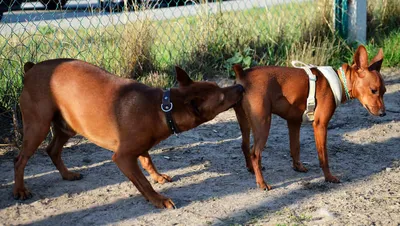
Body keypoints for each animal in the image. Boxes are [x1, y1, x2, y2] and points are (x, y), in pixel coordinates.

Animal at [13, 58, 244, 208]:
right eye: (221, 98)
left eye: (218, 86)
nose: (241, 88)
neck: (163, 108)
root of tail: (31, 69)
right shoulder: (123, 157)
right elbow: (142, 182)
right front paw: (158, 199)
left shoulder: (140, 148)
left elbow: (148, 162)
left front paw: (158, 176)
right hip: (38, 126)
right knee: (20, 159)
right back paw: (20, 190)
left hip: (66, 126)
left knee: (52, 150)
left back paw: (67, 174)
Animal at [233, 45, 386, 189]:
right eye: (373, 90)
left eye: (384, 91)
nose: (383, 113)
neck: (339, 81)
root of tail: (243, 74)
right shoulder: (320, 125)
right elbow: (323, 157)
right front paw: (328, 177)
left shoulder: (293, 122)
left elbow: (295, 147)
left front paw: (298, 167)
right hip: (263, 123)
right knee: (255, 153)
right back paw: (262, 183)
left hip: (245, 122)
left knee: (245, 145)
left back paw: (251, 169)